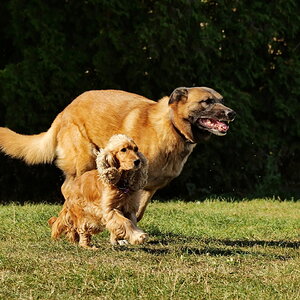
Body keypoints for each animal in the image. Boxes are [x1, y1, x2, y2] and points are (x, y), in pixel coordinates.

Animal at [0, 86, 236, 220]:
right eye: (207, 101)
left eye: (222, 100)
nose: (232, 113)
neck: (172, 126)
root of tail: (64, 111)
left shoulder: (149, 187)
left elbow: (138, 212)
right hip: (84, 160)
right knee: (67, 188)